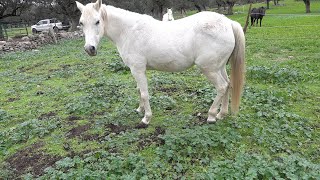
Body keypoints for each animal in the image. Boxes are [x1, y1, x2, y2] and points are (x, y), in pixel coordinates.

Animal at [75, 0, 245, 126]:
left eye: (97, 21)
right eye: (81, 23)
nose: (89, 49)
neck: (128, 31)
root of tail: (228, 23)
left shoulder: (138, 70)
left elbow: (144, 93)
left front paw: (146, 118)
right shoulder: (136, 71)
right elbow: (139, 90)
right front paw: (139, 110)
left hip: (209, 69)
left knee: (221, 87)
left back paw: (211, 116)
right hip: (219, 67)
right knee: (228, 84)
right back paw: (221, 114)